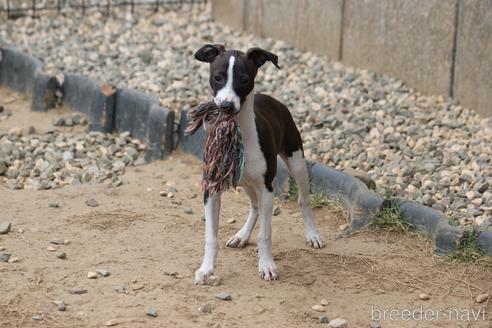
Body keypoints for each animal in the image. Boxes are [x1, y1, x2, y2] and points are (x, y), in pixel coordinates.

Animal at [194, 44, 324, 284]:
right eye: (217, 77)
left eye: (244, 79)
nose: (226, 106)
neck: (239, 133)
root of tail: (271, 99)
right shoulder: (212, 188)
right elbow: (211, 237)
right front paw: (206, 269)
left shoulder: (267, 189)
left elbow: (265, 234)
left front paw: (267, 265)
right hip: (246, 182)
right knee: (254, 207)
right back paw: (242, 236)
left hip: (297, 163)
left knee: (303, 200)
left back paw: (313, 234)